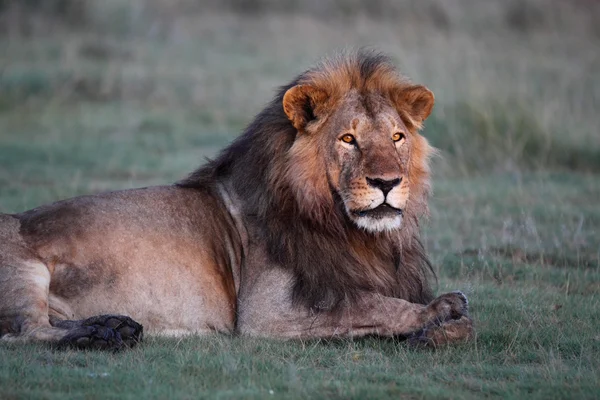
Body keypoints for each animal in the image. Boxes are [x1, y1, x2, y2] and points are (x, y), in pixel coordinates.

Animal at [0, 51, 474, 348]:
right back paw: (98, 337)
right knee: (23, 332)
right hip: (22, 270)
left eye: (396, 137)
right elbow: (374, 304)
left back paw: (114, 326)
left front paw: (439, 328)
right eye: (348, 139)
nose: (387, 182)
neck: (352, 230)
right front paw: (440, 311)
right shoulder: (266, 311)